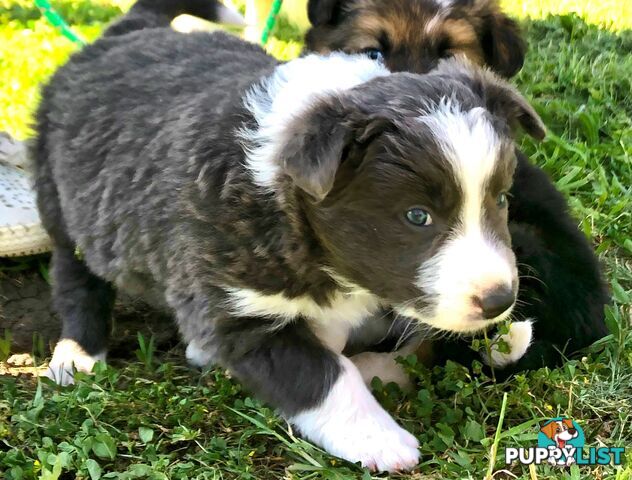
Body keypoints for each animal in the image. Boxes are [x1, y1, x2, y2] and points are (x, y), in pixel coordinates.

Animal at [35, 0, 548, 472]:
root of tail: (128, 29)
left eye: (501, 199)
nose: (499, 300)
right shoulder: (237, 307)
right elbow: (323, 376)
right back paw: (78, 355)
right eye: (417, 216)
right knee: (76, 278)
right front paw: (379, 439)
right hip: (63, 204)